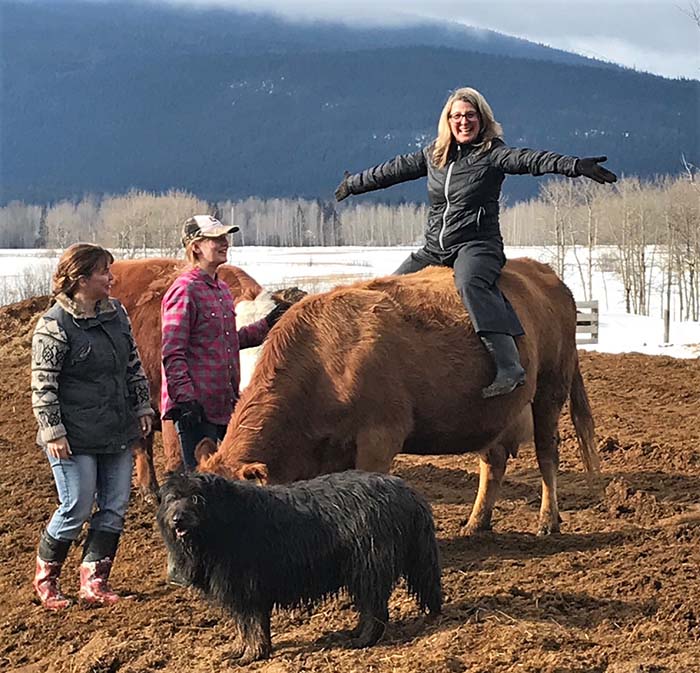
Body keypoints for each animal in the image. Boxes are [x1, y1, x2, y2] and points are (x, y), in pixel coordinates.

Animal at [159, 468, 442, 660]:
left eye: (196, 498)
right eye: (172, 498)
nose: (177, 519)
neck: (223, 521)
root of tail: (407, 491)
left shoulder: (247, 588)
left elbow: (253, 625)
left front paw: (253, 654)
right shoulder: (237, 591)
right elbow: (242, 625)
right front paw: (239, 650)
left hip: (369, 566)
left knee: (376, 610)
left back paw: (363, 640)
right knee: (369, 608)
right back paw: (354, 632)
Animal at [200, 258, 600, 536]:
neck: (326, 357)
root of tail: (542, 272)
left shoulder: (379, 438)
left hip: (549, 391)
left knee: (547, 453)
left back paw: (548, 519)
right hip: (490, 414)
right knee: (493, 462)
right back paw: (477, 521)